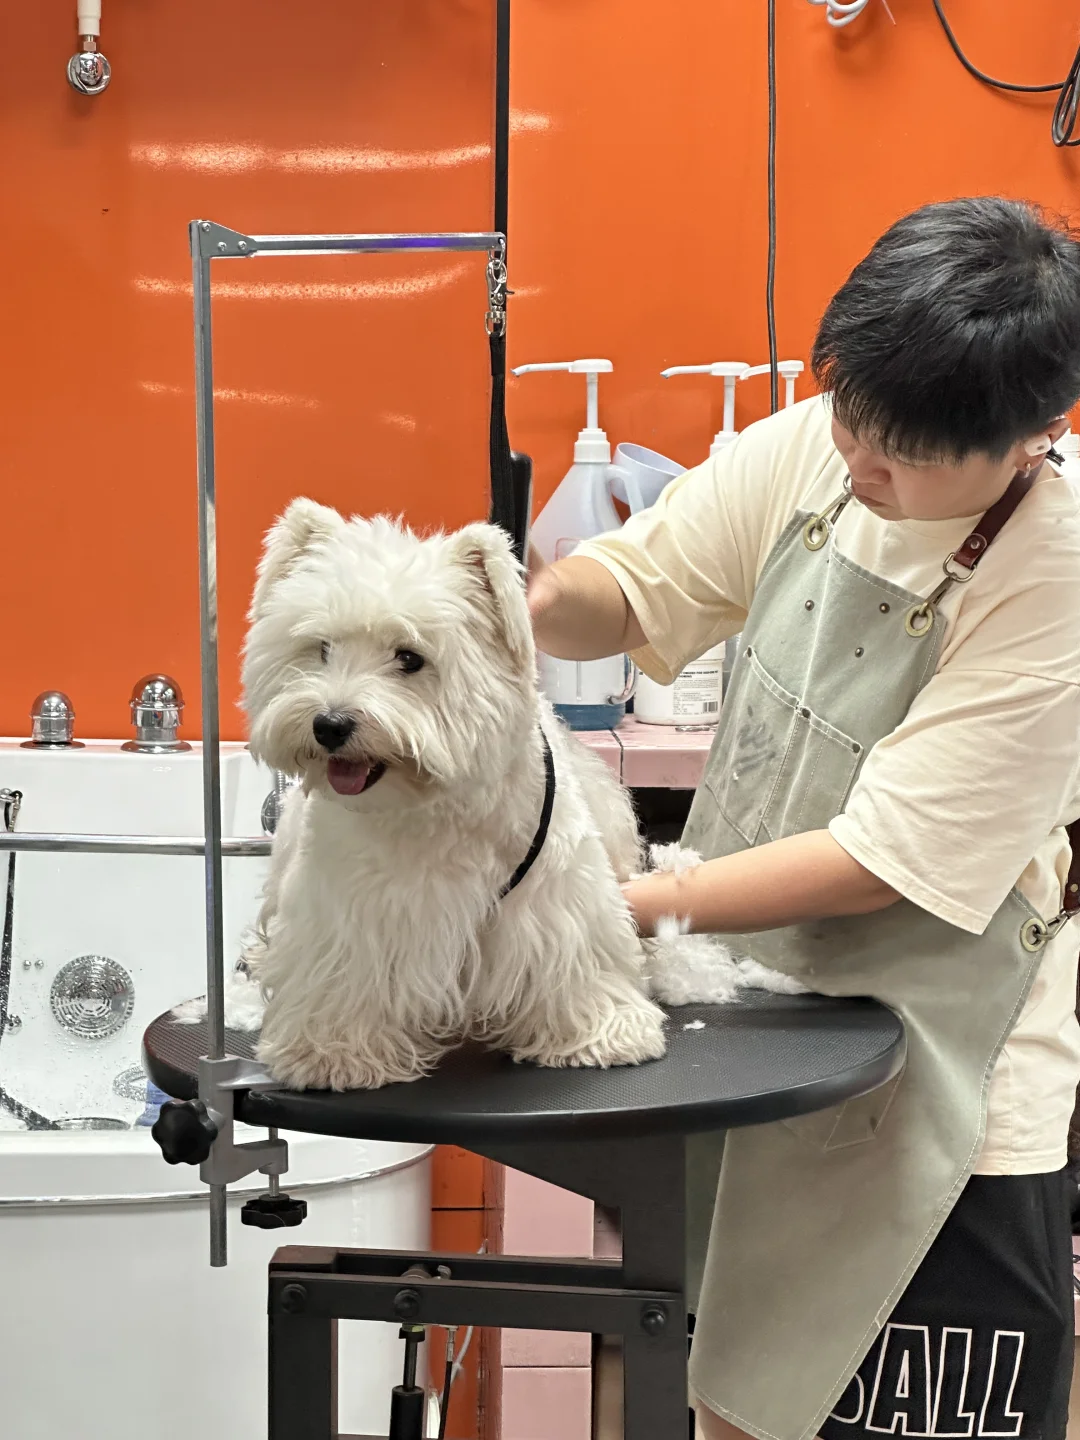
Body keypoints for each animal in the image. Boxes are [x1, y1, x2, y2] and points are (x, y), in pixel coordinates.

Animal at [175, 501, 801, 1091]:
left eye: (410, 657)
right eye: (320, 648)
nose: (329, 724)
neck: (431, 808)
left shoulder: (557, 908)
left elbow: (577, 969)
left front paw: (599, 1034)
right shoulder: (349, 918)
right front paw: (334, 1053)